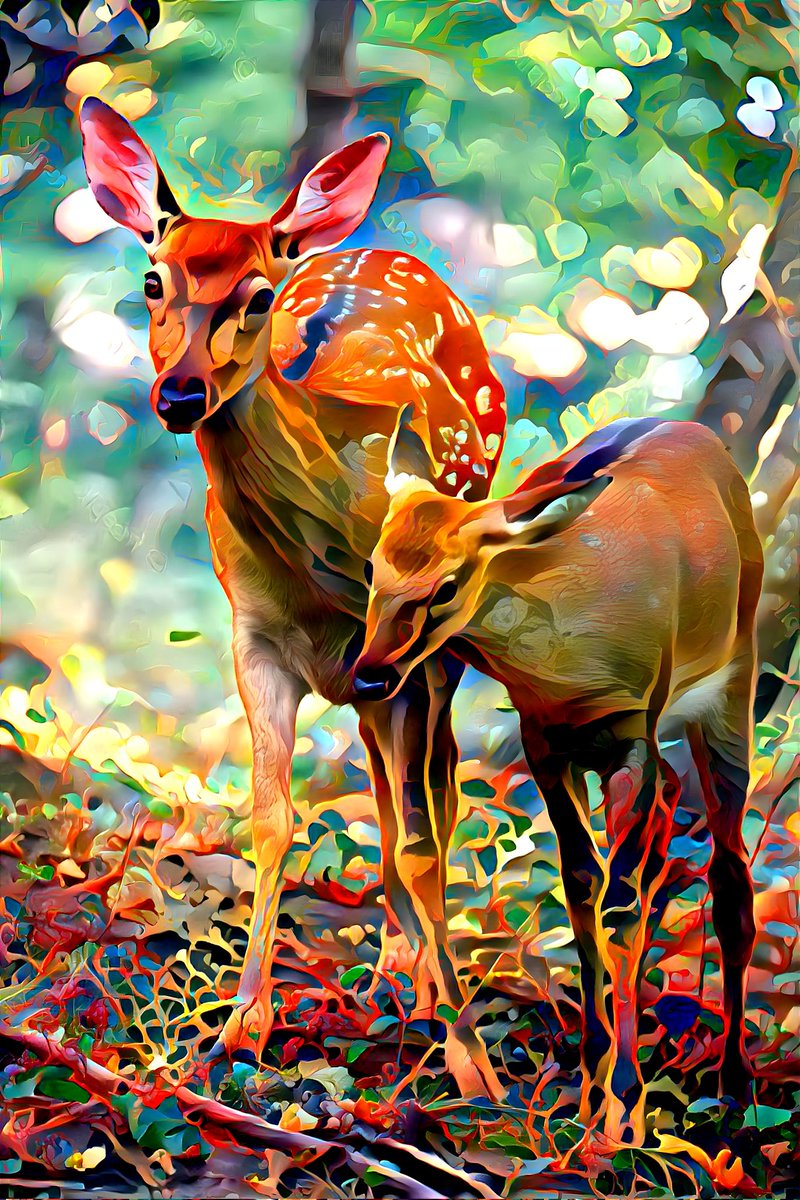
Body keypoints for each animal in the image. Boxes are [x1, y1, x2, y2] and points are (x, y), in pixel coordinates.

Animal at [78, 98, 508, 1098]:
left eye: (258, 296)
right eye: (152, 280)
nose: (180, 392)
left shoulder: (419, 648)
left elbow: (425, 839)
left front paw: (473, 1066)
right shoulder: (257, 642)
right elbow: (273, 821)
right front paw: (240, 1029)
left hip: (433, 654)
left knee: (430, 803)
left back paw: (423, 985)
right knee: (382, 788)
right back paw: (398, 968)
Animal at [353, 408, 762, 1144]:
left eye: (448, 585)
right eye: (373, 565)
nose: (369, 674)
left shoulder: (633, 733)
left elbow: (619, 906)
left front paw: (623, 1109)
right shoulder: (545, 741)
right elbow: (580, 887)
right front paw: (591, 1083)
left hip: (729, 688)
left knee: (728, 877)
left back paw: (735, 1085)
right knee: (665, 832)